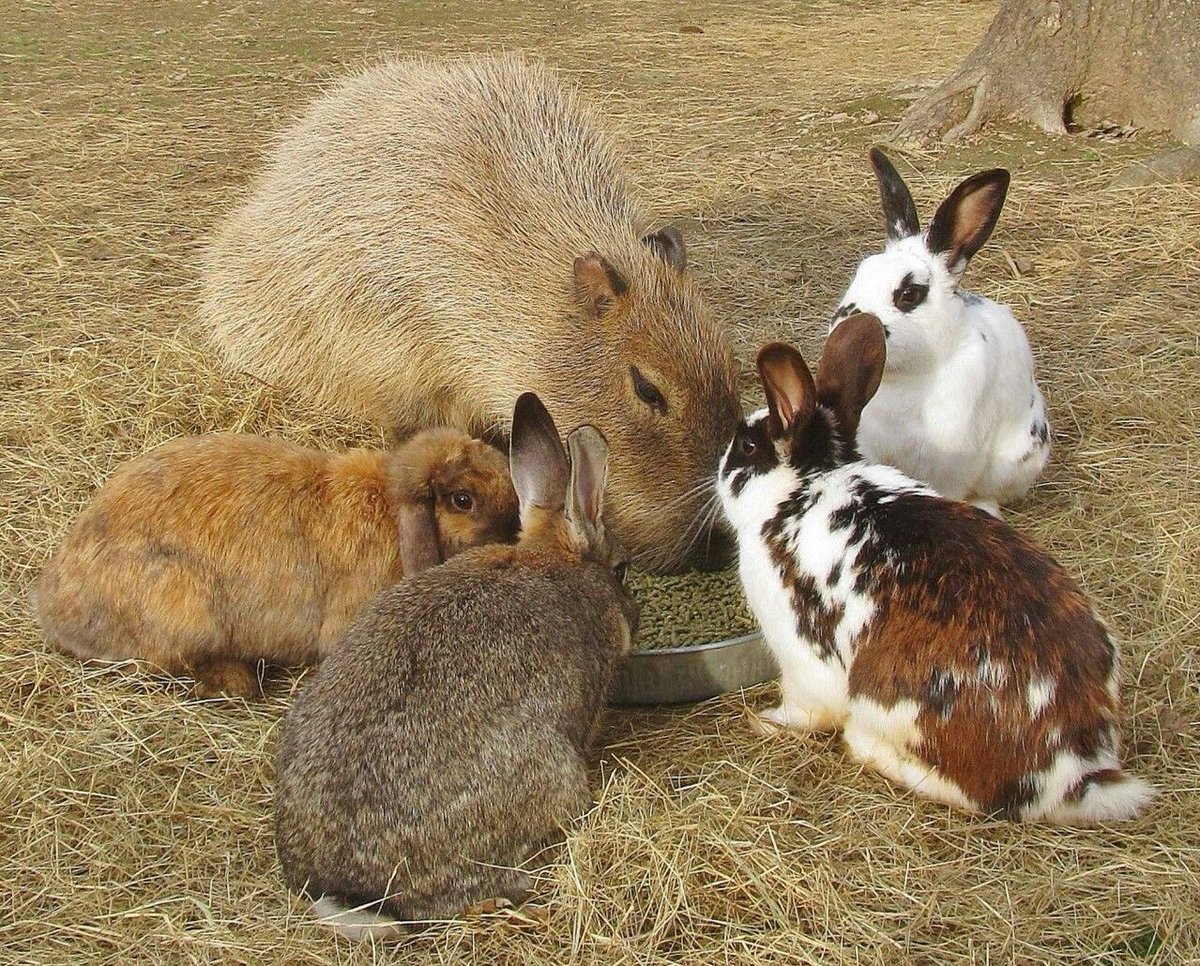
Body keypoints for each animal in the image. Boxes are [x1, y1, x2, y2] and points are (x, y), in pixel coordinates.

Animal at [715, 314, 1147, 820]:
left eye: (746, 446)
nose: (717, 467)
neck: (802, 489)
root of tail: (1073, 768)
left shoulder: (803, 659)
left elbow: (805, 709)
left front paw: (767, 721)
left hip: (886, 700)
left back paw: (870, 750)